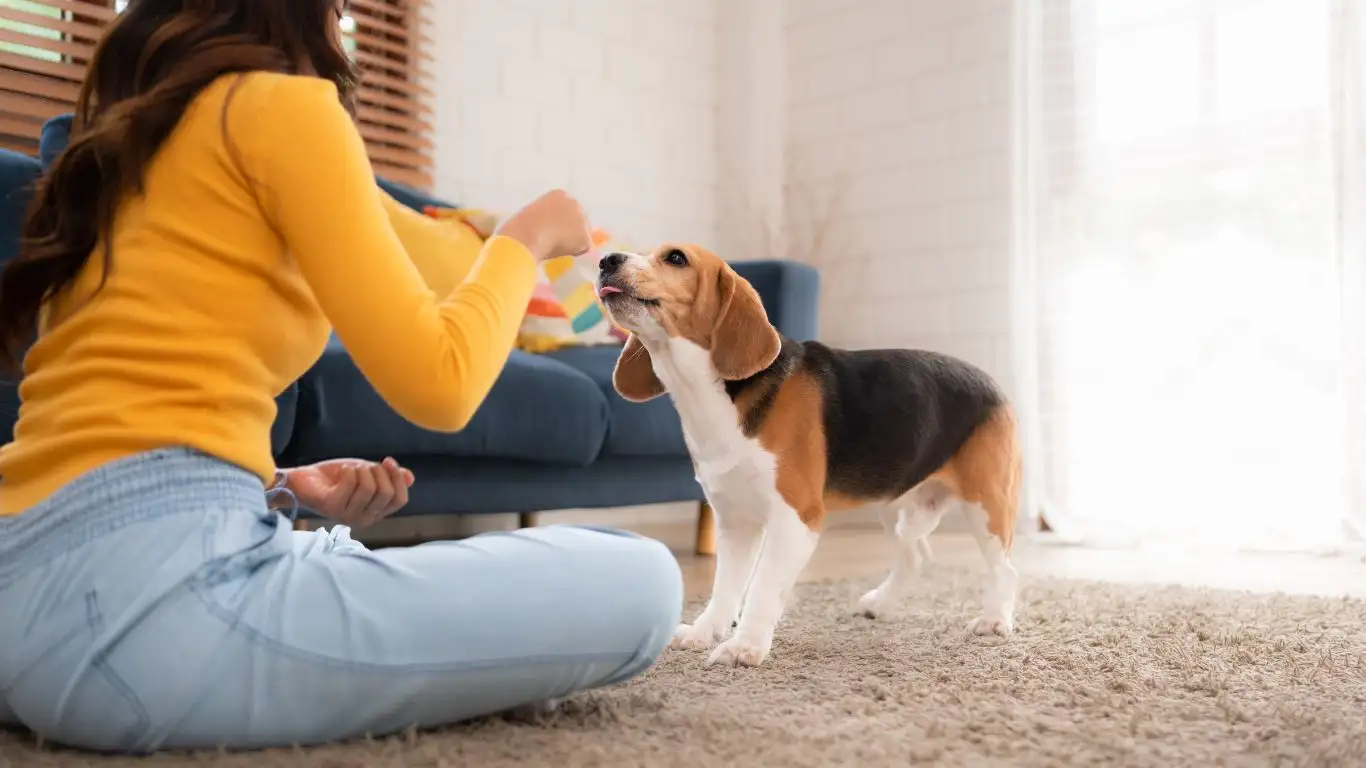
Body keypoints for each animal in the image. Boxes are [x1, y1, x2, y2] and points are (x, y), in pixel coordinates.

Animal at [592, 243, 1021, 664]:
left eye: (676, 258)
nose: (606, 260)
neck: (709, 394)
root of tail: (993, 383)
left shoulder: (795, 518)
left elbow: (762, 586)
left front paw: (744, 647)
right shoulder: (734, 521)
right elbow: (725, 586)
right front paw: (704, 632)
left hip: (986, 504)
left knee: (1005, 568)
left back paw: (995, 619)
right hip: (892, 501)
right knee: (914, 556)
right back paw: (881, 604)